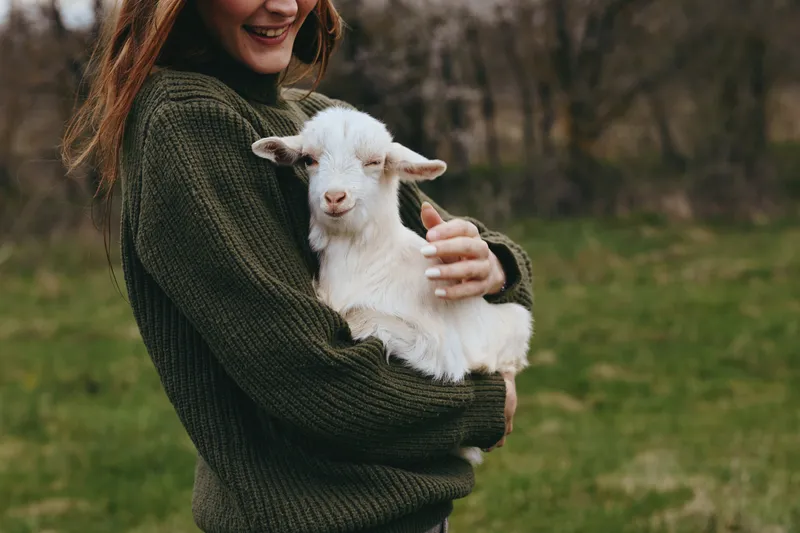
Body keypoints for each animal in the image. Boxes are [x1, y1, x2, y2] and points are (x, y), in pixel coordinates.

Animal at [252, 106, 532, 465]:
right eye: (309, 160)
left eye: (375, 161)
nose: (334, 197)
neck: (368, 263)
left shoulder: (438, 350)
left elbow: (366, 318)